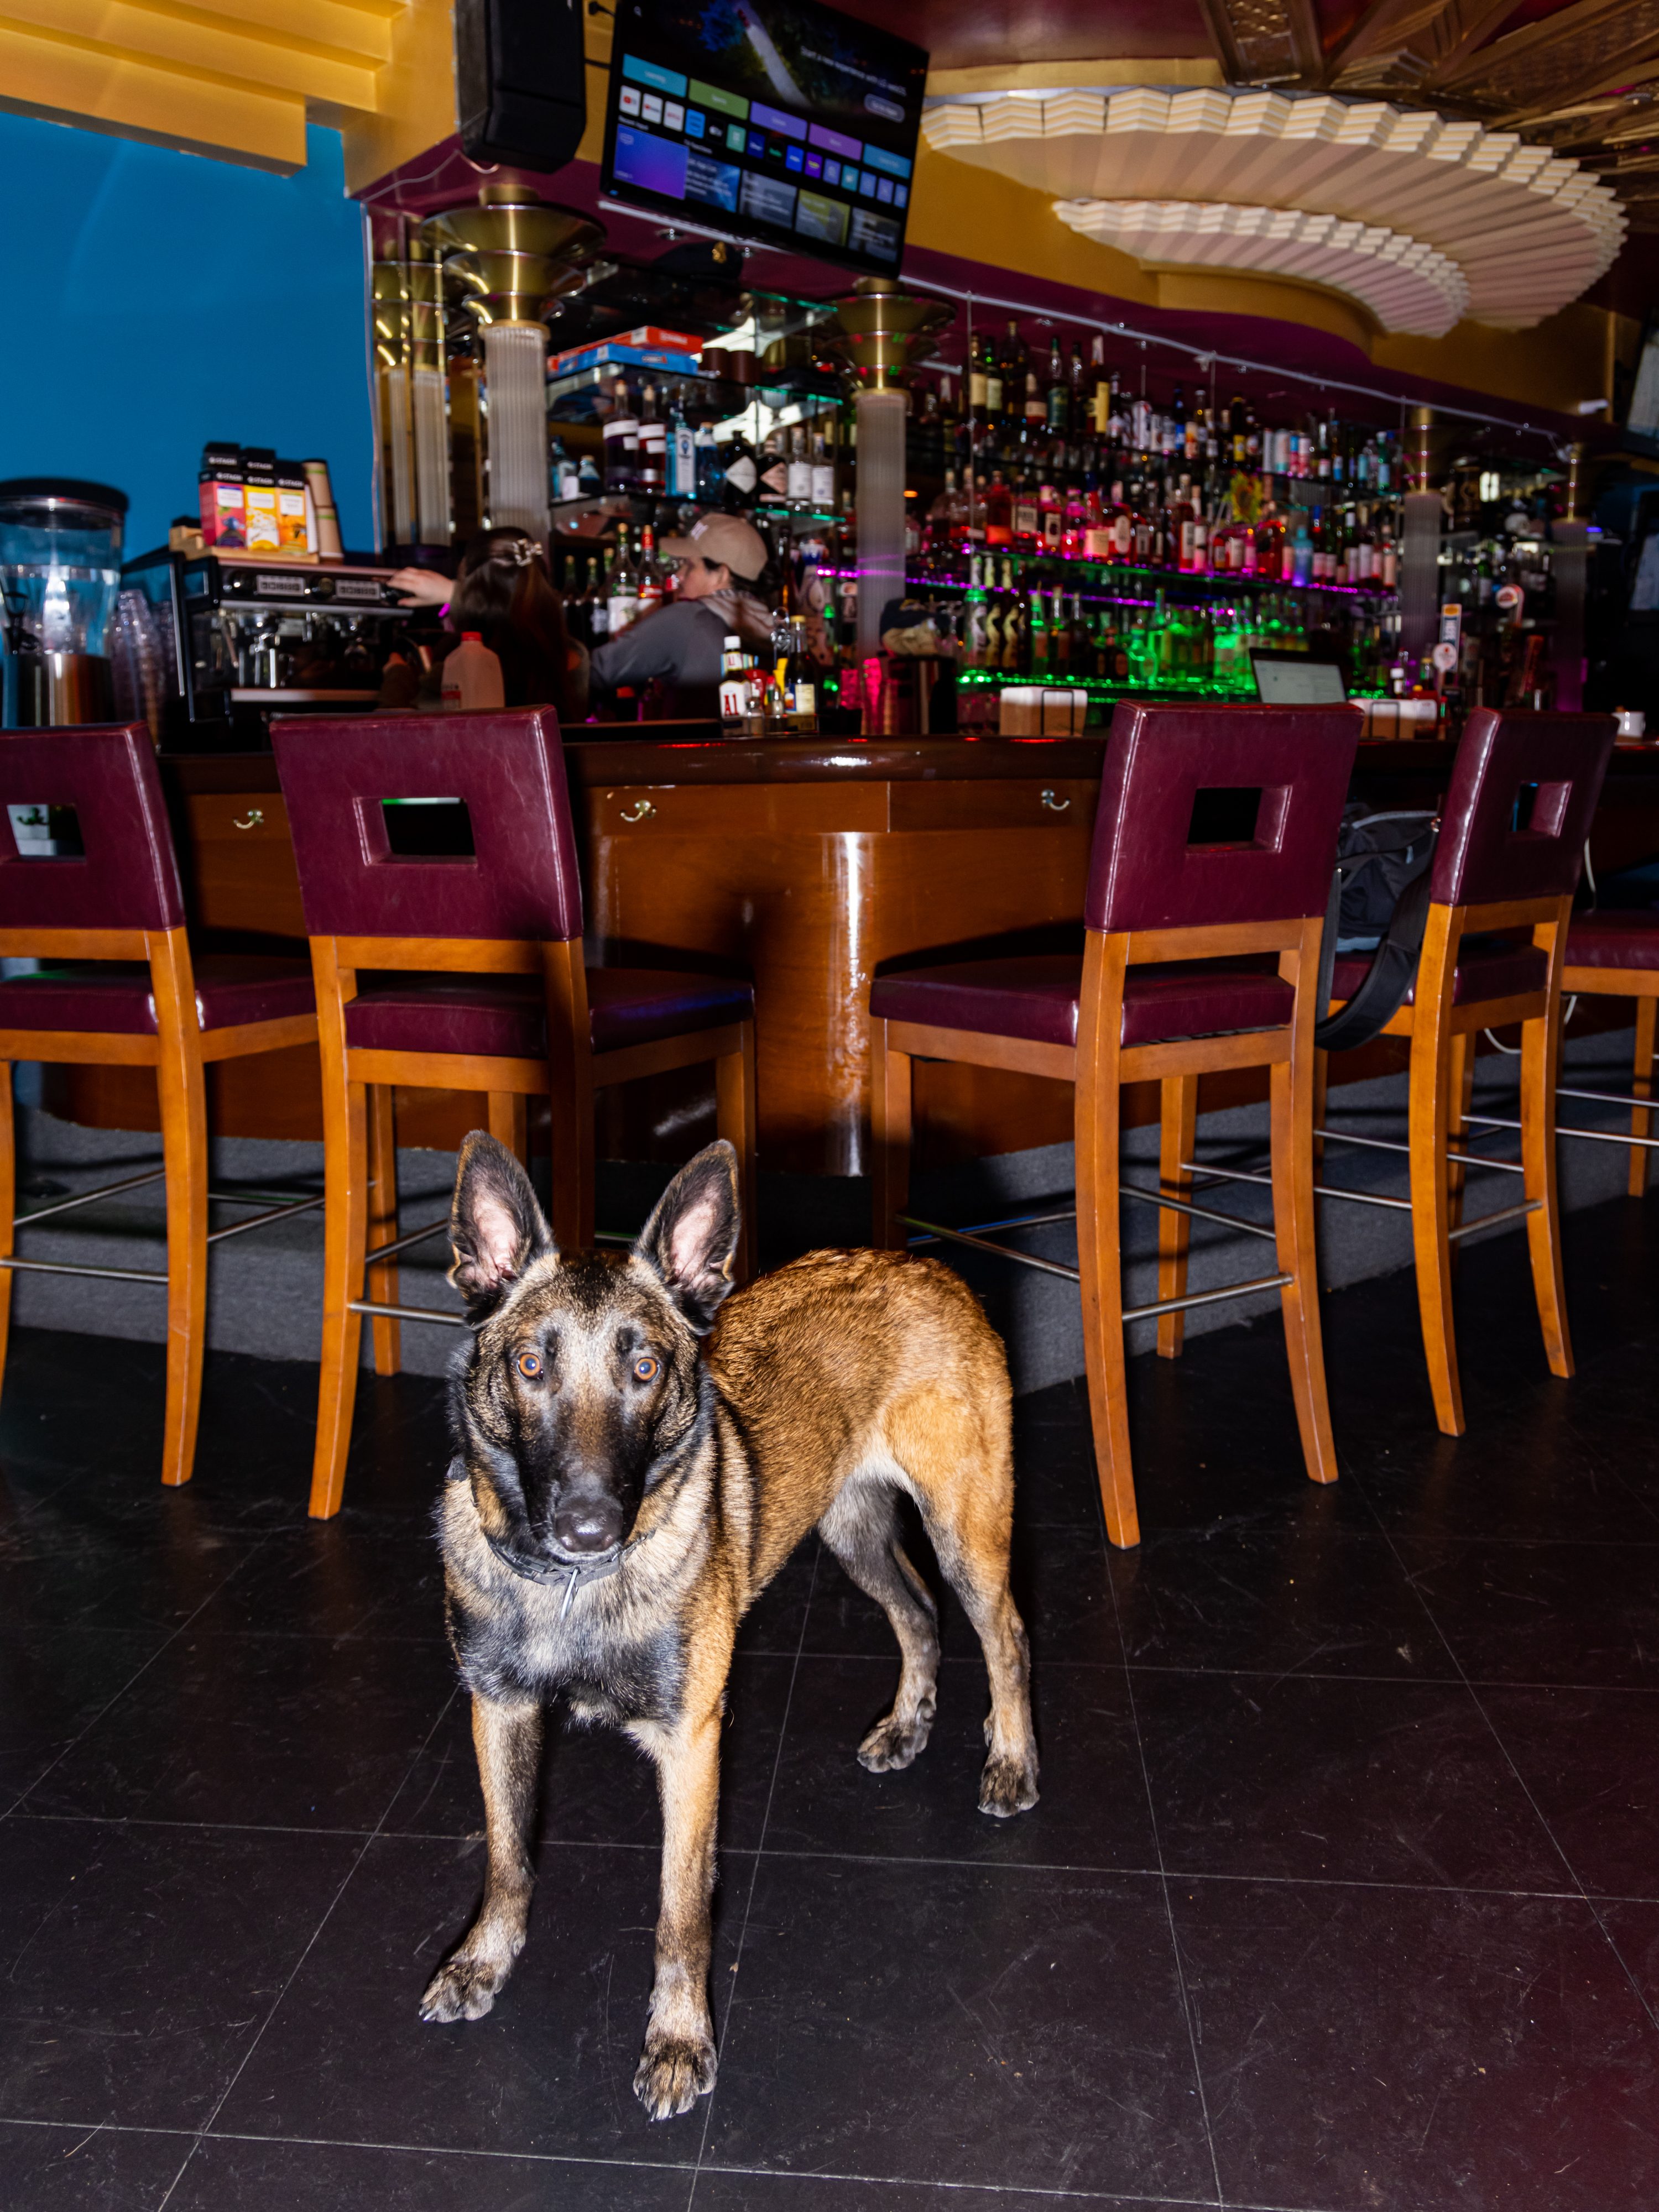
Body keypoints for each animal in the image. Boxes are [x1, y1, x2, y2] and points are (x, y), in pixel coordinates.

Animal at [422, 1132, 1035, 2114]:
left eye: (645, 1369)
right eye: (529, 1366)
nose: (589, 1526)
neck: (571, 1591)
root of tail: (920, 1263)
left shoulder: (692, 1741)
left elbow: (680, 1909)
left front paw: (678, 2041)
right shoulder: (500, 1711)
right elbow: (509, 1857)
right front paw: (485, 1961)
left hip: (963, 1530)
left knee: (1004, 1636)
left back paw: (1012, 1761)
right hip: (853, 1531)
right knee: (918, 1613)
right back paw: (907, 1723)